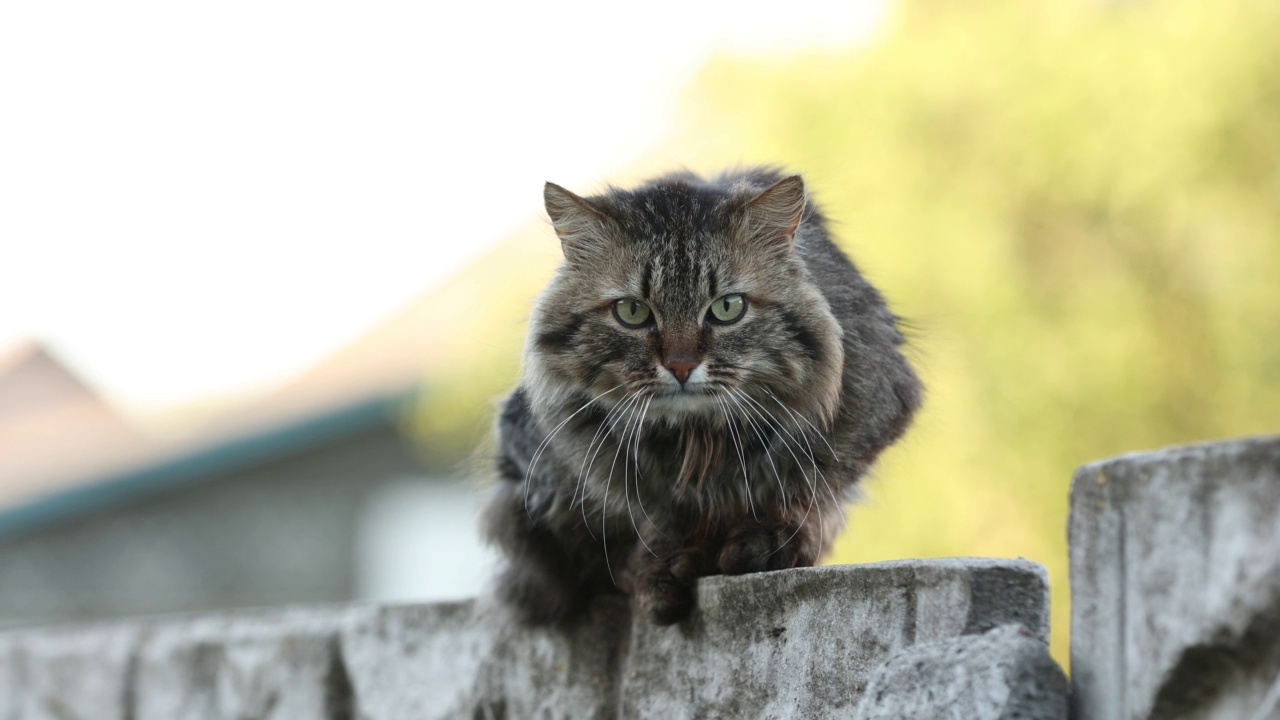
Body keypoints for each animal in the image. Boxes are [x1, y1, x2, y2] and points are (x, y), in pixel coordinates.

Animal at [481, 166, 921, 622]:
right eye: (632, 312)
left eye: (728, 307)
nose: (680, 366)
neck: (699, 442)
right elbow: (647, 525)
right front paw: (662, 567)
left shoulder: (863, 415)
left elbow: (804, 493)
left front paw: (768, 541)